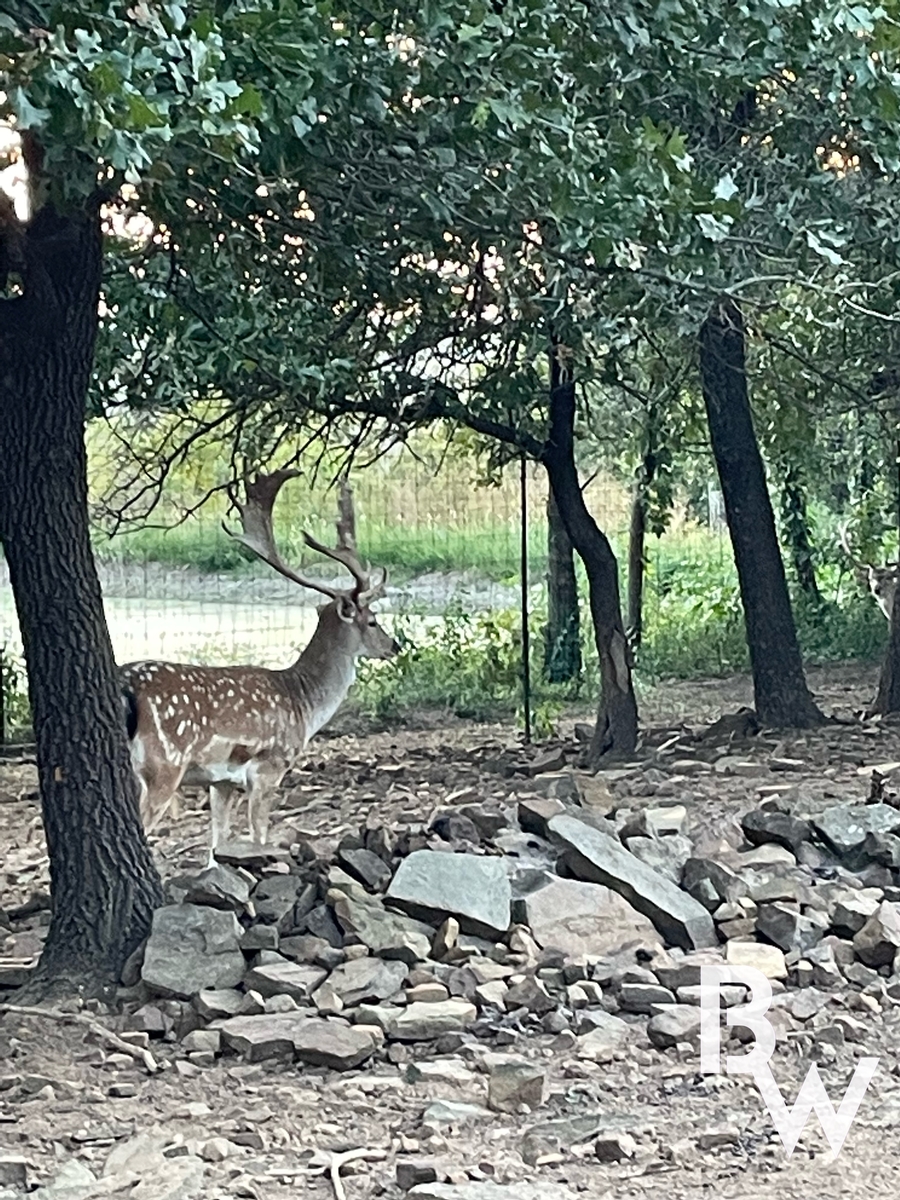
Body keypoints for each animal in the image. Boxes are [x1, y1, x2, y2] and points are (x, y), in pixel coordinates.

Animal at [118, 470, 398, 864]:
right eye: (372, 621)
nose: (394, 645)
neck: (302, 702)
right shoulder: (269, 767)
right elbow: (258, 834)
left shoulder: (221, 781)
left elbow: (217, 845)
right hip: (163, 765)